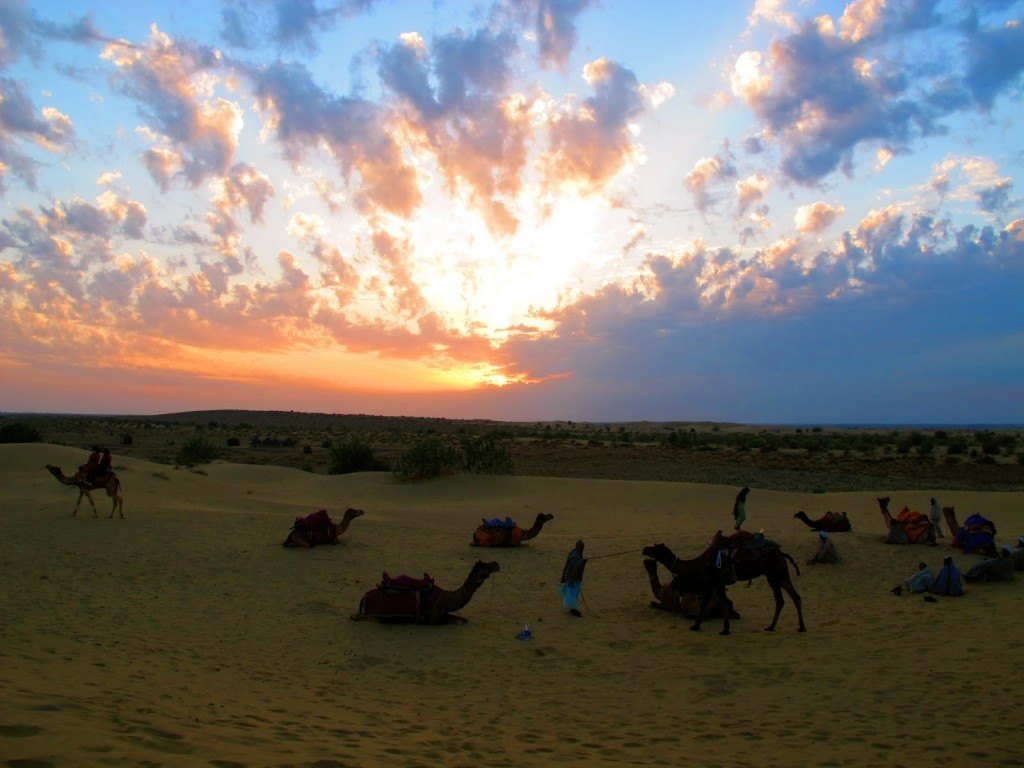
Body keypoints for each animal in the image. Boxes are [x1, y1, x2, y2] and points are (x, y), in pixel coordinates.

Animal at [350, 561, 501, 626]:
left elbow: (463, 619)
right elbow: (457, 621)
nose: (496, 563)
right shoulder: (433, 619)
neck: (447, 598)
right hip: (372, 614)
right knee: (359, 617)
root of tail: (363, 597)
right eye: (485, 566)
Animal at [643, 536, 802, 638]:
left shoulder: (714, 581)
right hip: (772, 576)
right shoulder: (713, 582)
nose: (644, 549)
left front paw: (711, 628)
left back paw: (801, 627)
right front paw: (718, 628)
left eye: (655, 548)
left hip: (778, 572)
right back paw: (771, 627)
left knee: (793, 596)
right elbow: (717, 603)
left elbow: (713, 603)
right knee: (783, 599)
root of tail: (781, 553)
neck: (699, 563)